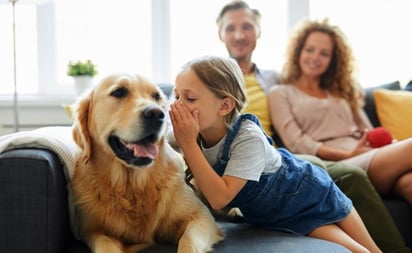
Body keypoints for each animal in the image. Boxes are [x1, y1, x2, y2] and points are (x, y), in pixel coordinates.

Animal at [72, 72, 224, 252]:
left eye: (156, 96)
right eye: (119, 92)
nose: (157, 114)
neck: (132, 186)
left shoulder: (200, 215)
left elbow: (188, 240)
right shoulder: (93, 230)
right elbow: (106, 245)